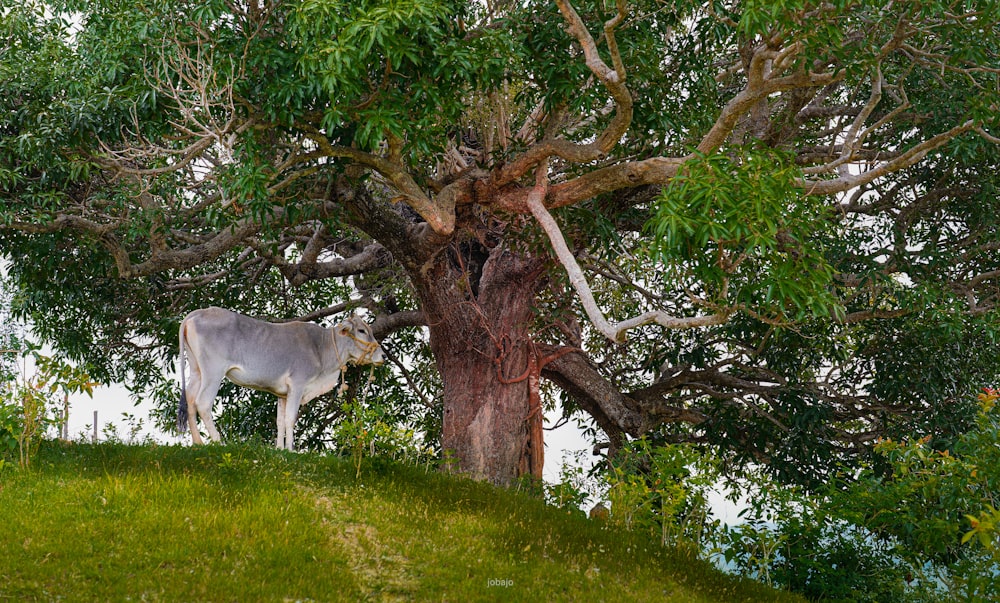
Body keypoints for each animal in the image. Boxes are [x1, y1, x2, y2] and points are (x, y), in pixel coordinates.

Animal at [178, 310, 384, 450]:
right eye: (361, 330)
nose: (382, 355)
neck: (320, 348)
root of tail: (198, 312)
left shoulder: (282, 393)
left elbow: (280, 420)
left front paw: (279, 449)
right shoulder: (298, 384)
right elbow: (291, 418)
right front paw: (291, 450)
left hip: (197, 370)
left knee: (190, 400)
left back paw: (198, 442)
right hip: (213, 371)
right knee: (203, 402)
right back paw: (218, 442)